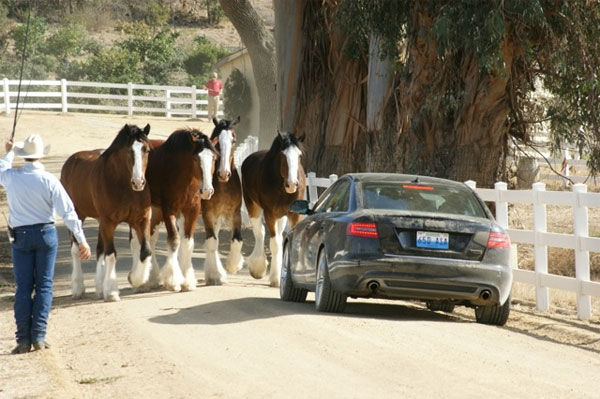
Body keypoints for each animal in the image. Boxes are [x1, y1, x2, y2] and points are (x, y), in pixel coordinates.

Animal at [60, 123, 152, 302]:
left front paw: (136, 279)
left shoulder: (140, 220)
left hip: (99, 220)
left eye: (147, 150)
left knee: (99, 249)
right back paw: (78, 287)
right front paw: (111, 291)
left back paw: (98, 288)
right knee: (76, 249)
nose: (138, 182)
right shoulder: (109, 222)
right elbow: (111, 254)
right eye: (128, 150)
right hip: (77, 215)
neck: (124, 186)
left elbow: (145, 251)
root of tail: (71, 160)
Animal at [144, 130, 219, 292]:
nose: (207, 191)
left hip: (156, 211)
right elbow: (174, 241)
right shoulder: (169, 210)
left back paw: (152, 278)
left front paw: (187, 280)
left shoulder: (192, 210)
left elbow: (188, 243)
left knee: (151, 239)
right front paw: (173, 280)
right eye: (196, 158)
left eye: (214, 158)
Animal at [239, 132, 304, 288]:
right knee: (260, 232)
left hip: (282, 215)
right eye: (282, 155)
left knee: (279, 235)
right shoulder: (270, 214)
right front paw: (275, 279)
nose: (292, 184)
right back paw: (258, 267)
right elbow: (273, 243)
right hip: (252, 205)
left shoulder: (294, 215)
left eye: (299, 155)